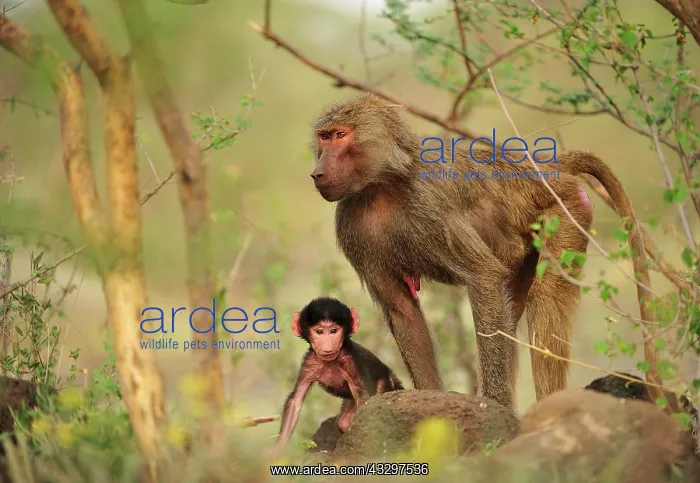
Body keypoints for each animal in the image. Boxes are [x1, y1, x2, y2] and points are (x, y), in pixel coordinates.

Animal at [268, 297, 403, 456]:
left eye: (333, 331)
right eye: (319, 331)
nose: (327, 347)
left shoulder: (351, 362)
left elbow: (364, 399)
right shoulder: (310, 362)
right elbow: (296, 400)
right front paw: (277, 448)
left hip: (385, 383)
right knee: (343, 422)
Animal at [308, 93, 653, 411]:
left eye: (340, 135)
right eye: (324, 137)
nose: (317, 172)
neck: (382, 186)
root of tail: (547, 168)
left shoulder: (430, 205)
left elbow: (483, 278)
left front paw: (494, 403)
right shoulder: (351, 226)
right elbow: (403, 310)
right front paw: (430, 401)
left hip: (568, 210)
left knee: (544, 296)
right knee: (511, 310)